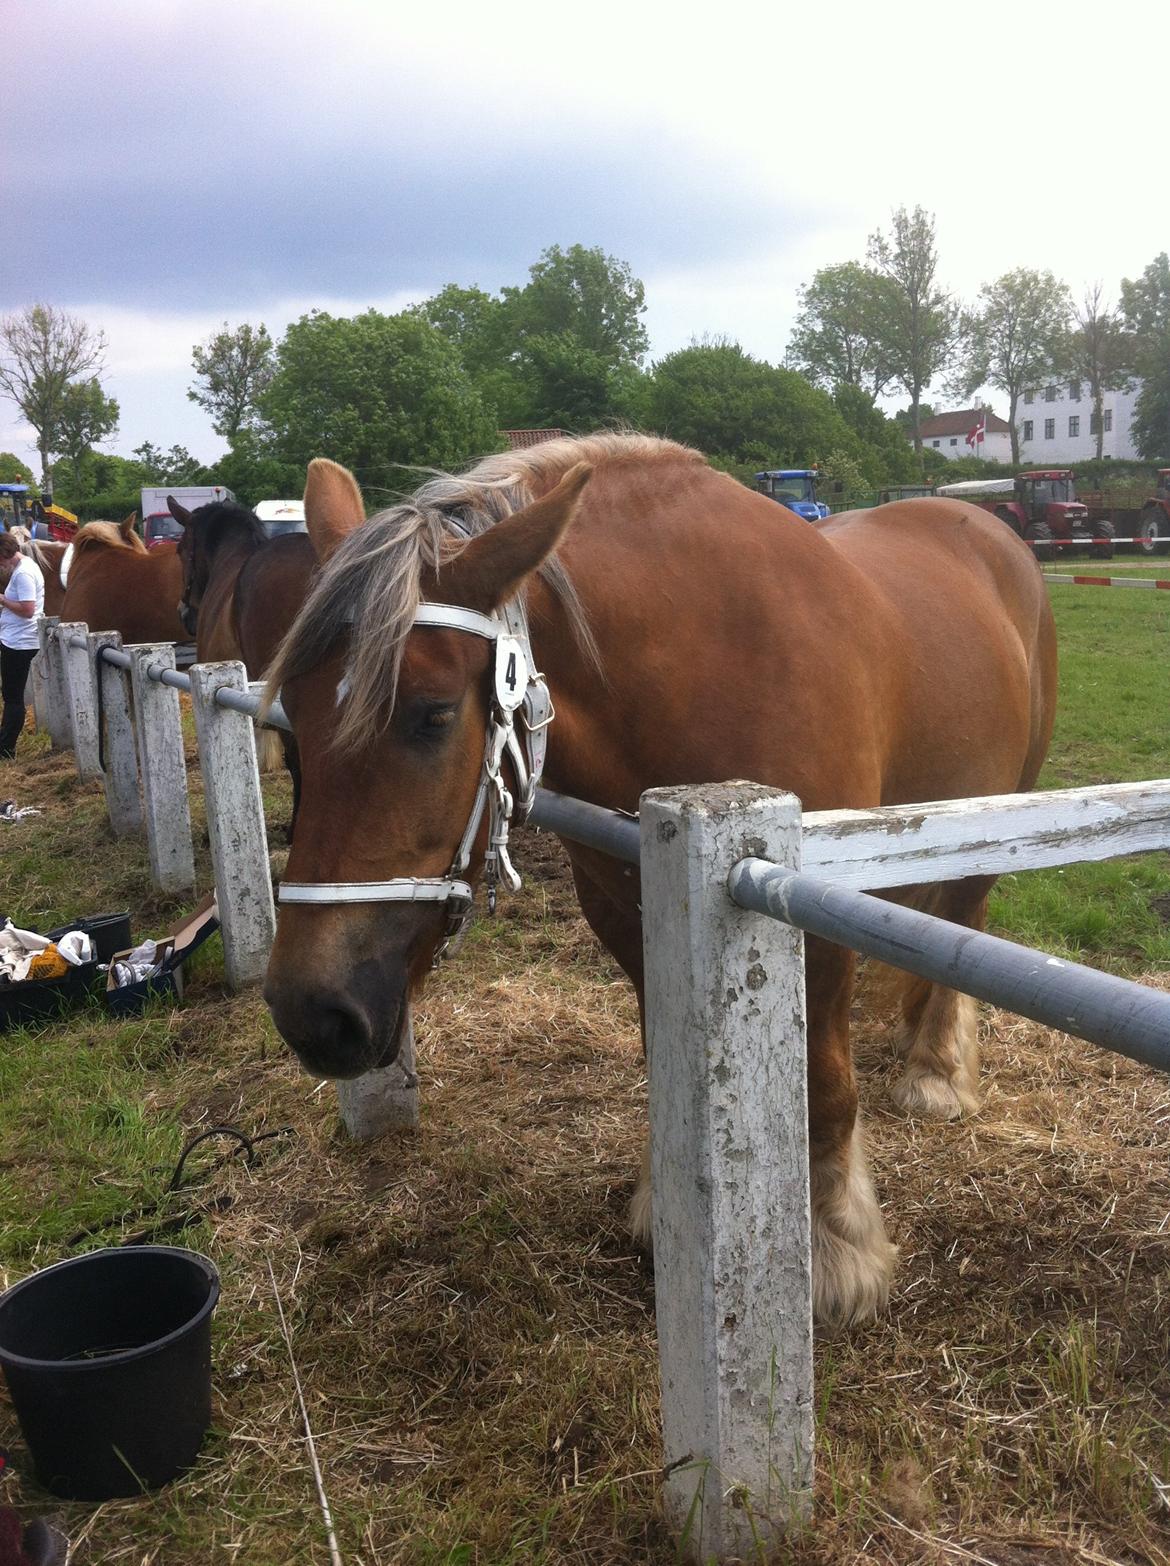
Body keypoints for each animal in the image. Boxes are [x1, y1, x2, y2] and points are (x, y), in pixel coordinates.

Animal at [264, 435, 1058, 1327]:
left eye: (432, 715)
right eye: (295, 713)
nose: (311, 1012)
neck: (708, 662)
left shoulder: (807, 918)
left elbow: (826, 1087)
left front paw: (834, 1247)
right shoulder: (628, 912)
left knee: (966, 920)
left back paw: (934, 1071)